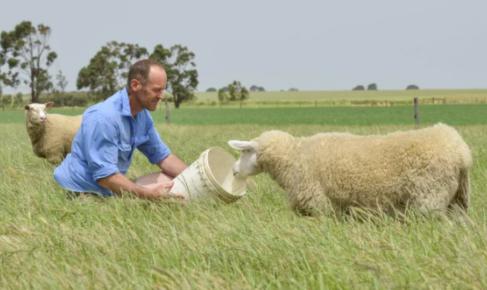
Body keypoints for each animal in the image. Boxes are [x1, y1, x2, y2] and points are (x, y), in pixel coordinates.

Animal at [231, 123, 474, 216]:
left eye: (245, 151)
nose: (233, 171)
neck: (294, 156)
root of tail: (460, 150)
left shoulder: (318, 205)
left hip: (429, 198)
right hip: (457, 200)